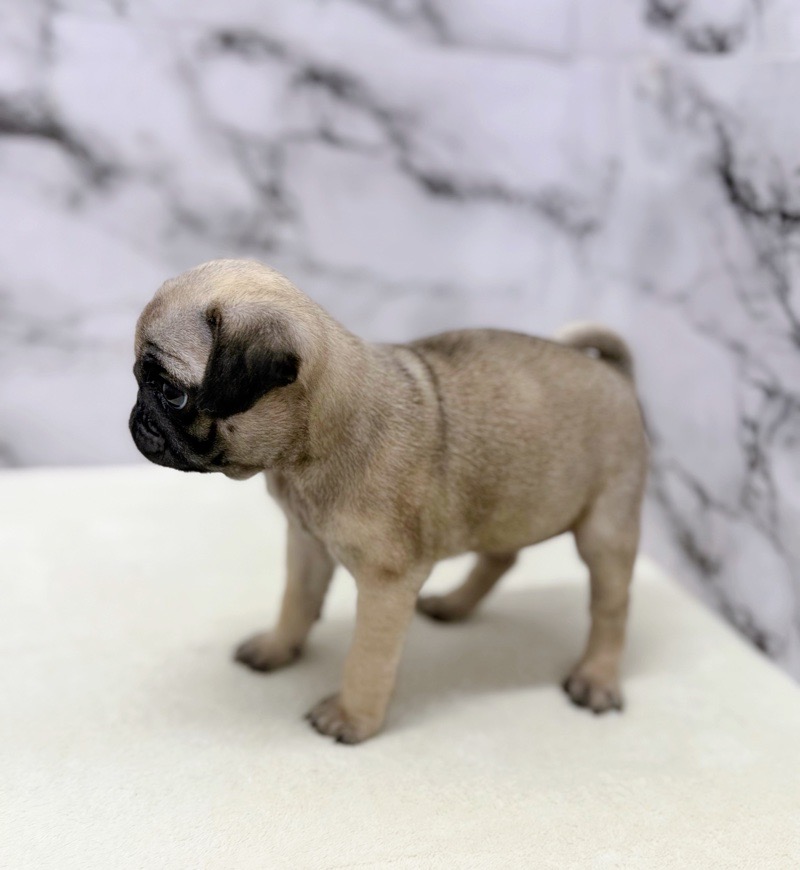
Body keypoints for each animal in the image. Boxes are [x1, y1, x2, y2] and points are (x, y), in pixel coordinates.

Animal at [130, 259, 647, 744]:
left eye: (172, 393)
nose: (136, 418)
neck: (315, 441)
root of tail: (615, 373)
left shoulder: (387, 584)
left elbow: (367, 658)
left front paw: (351, 718)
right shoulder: (307, 544)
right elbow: (296, 603)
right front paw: (276, 649)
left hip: (604, 530)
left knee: (611, 609)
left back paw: (596, 679)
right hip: (506, 503)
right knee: (501, 557)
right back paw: (455, 605)